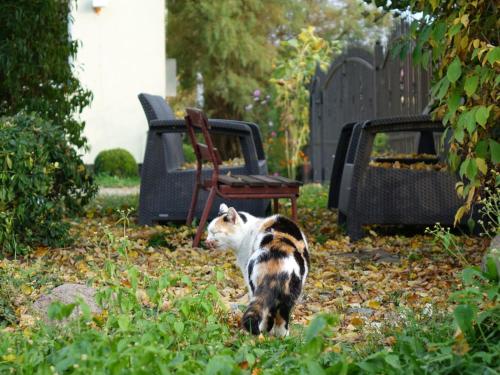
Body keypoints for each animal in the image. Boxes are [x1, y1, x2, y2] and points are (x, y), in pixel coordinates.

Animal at [204, 206, 308, 338]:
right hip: (290, 293)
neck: (247, 231)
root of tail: (278, 251)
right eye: (208, 232)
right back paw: (281, 336)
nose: (207, 241)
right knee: (281, 316)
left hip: (255, 282)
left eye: (215, 232)